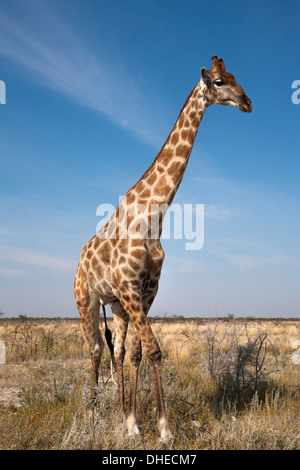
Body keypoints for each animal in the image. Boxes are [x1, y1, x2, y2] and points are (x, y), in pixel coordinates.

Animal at [74, 56, 251, 440]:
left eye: (234, 77)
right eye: (219, 81)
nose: (247, 102)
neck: (153, 216)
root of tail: (79, 261)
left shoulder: (146, 290)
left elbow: (138, 353)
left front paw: (133, 424)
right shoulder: (130, 287)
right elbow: (154, 351)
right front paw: (164, 429)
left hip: (117, 306)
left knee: (117, 351)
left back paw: (118, 414)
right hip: (86, 299)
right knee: (94, 349)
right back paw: (90, 415)